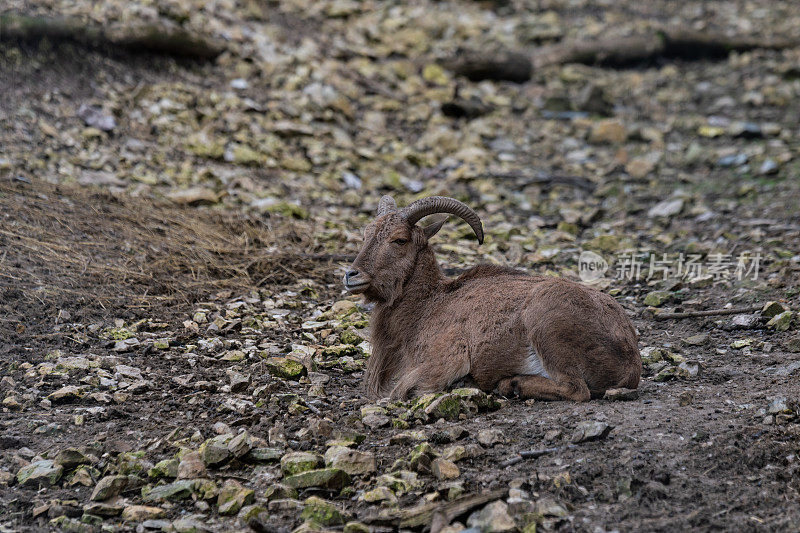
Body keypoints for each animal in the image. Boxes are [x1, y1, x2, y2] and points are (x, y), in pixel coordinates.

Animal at [340, 197, 640, 402]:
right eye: (366, 235)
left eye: (399, 240)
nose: (351, 275)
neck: (428, 306)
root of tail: (631, 361)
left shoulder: (442, 361)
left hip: (547, 325)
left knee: (577, 389)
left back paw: (512, 384)